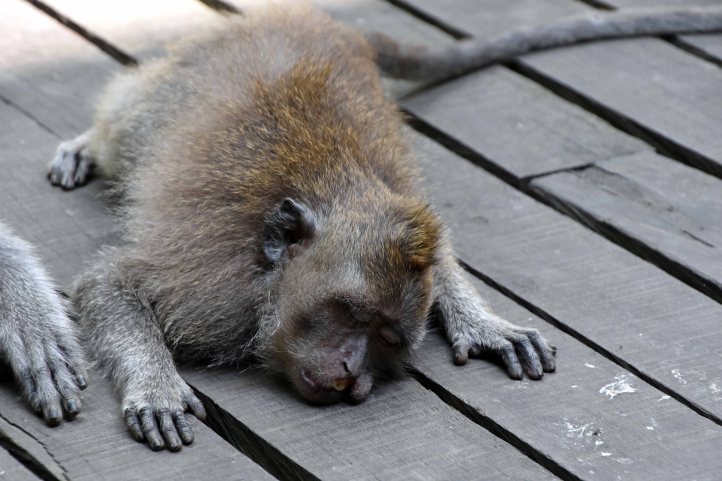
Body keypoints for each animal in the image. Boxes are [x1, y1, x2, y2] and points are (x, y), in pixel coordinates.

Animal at [41, 2, 722, 452]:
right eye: (350, 315)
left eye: (385, 337)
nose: (350, 371)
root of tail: (316, 21)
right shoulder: (212, 293)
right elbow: (109, 282)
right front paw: (154, 384)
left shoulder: (400, 206)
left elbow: (438, 248)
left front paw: (482, 321)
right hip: (179, 77)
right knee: (131, 121)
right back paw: (90, 143)